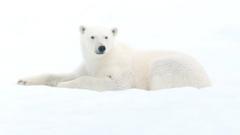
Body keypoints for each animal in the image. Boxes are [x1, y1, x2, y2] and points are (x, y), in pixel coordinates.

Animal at [17, 25, 211, 90]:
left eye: (106, 36)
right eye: (92, 36)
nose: (101, 48)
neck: (103, 59)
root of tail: (207, 80)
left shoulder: (119, 70)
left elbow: (113, 82)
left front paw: (64, 85)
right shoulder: (88, 65)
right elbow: (67, 74)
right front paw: (23, 80)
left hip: (173, 66)